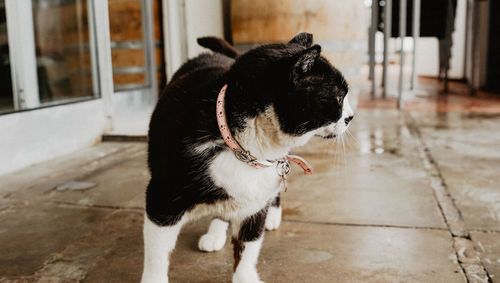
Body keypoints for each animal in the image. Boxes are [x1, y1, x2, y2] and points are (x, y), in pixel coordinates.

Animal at [139, 32, 354, 282]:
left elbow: (248, 248)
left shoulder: (255, 205)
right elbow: (157, 254)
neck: (245, 146)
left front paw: (246, 275)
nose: (351, 117)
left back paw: (270, 215)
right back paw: (215, 233)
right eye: (338, 98)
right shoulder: (162, 198)